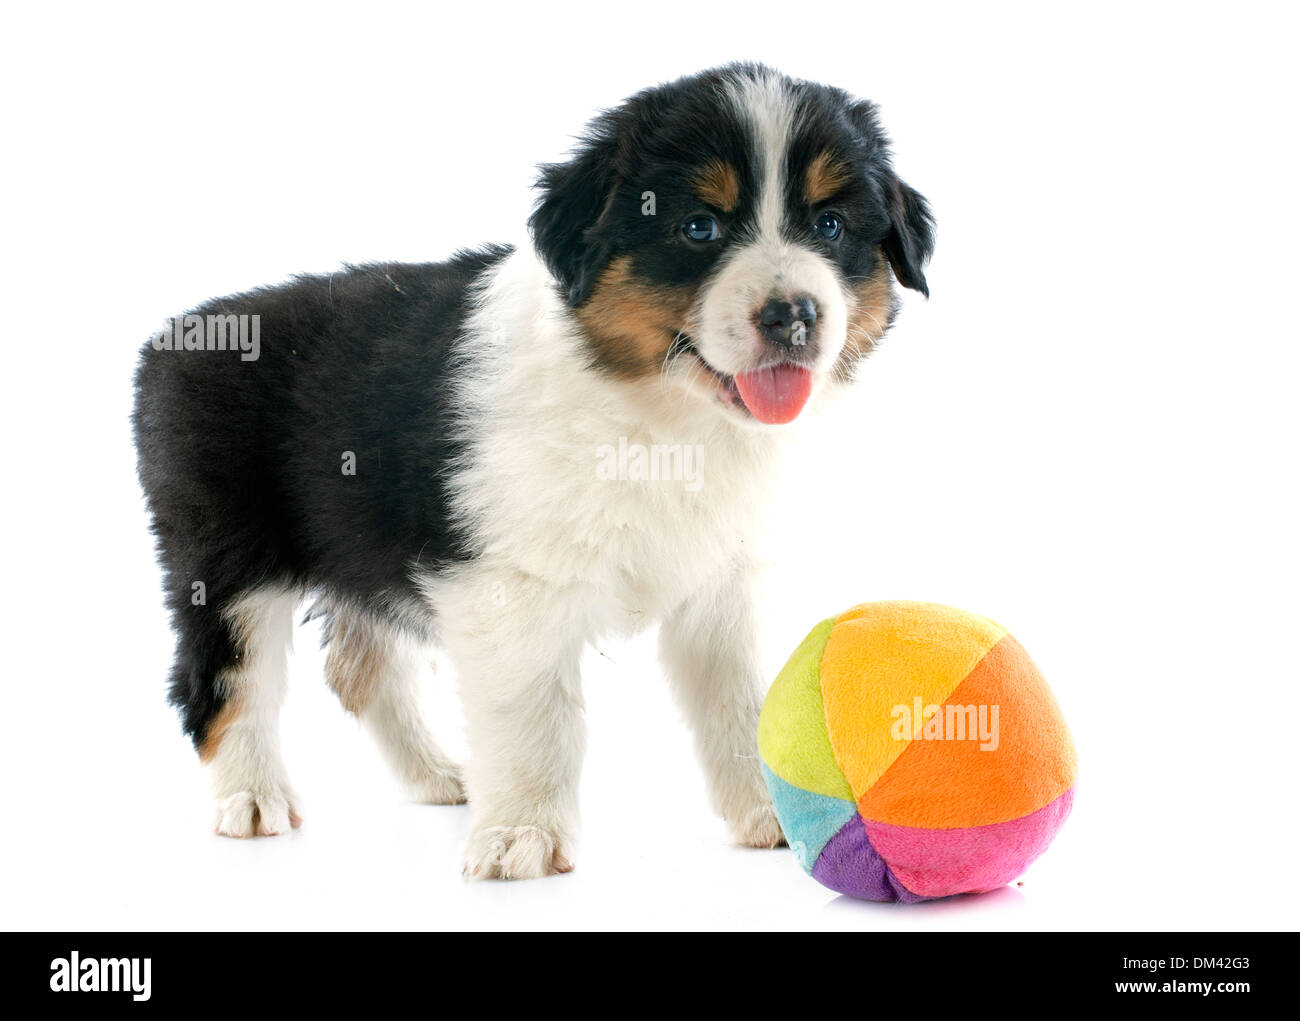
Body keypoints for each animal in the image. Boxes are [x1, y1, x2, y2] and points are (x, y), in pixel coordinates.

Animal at [131, 61, 935, 874]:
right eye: (698, 227)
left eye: (829, 226)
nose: (794, 315)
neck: (660, 418)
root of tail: (181, 334)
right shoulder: (507, 586)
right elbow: (535, 716)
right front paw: (524, 836)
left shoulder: (724, 578)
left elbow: (740, 702)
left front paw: (778, 816)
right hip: (225, 555)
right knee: (224, 677)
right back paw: (251, 797)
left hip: (359, 537)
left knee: (362, 668)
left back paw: (437, 775)